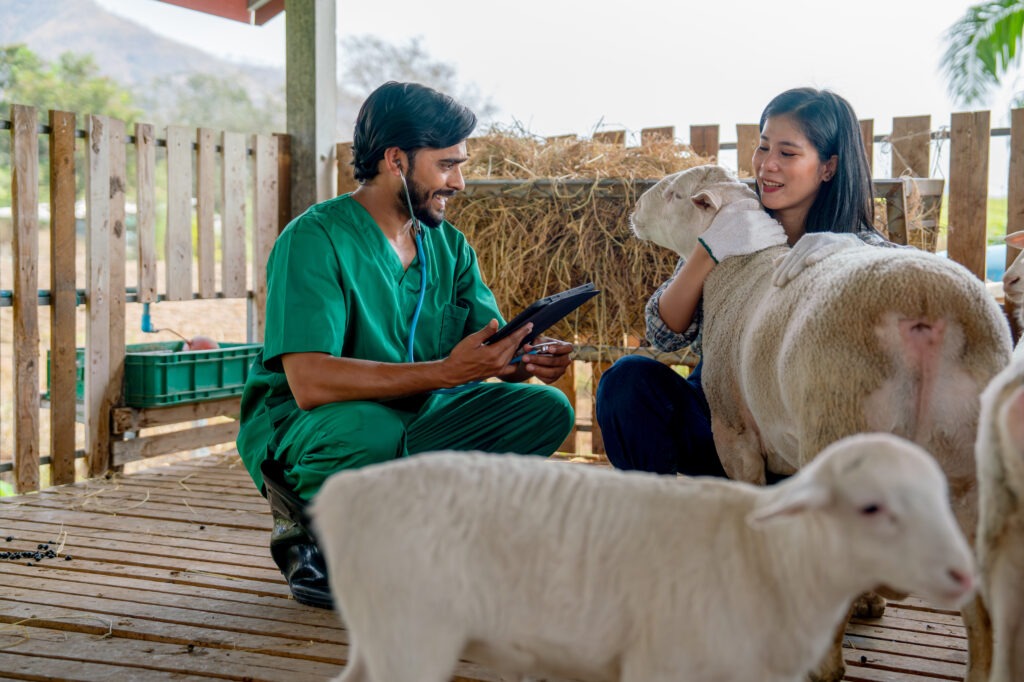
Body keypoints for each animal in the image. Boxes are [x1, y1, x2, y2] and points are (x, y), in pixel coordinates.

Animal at [310, 434, 975, 682]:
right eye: (870, 507)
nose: (963, 574)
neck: (771, 558)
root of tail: (344, 493)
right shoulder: (663, 666)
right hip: (414, 634)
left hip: (382, 633)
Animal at [629, 164, 1013, 681]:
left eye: (673, 194)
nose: (634, 211)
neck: (739, 268)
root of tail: (926, 304)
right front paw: (867, 603)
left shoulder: (734, 431)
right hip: (970, 464)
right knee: (981, 608)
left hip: (841, 417)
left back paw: (822, 664)